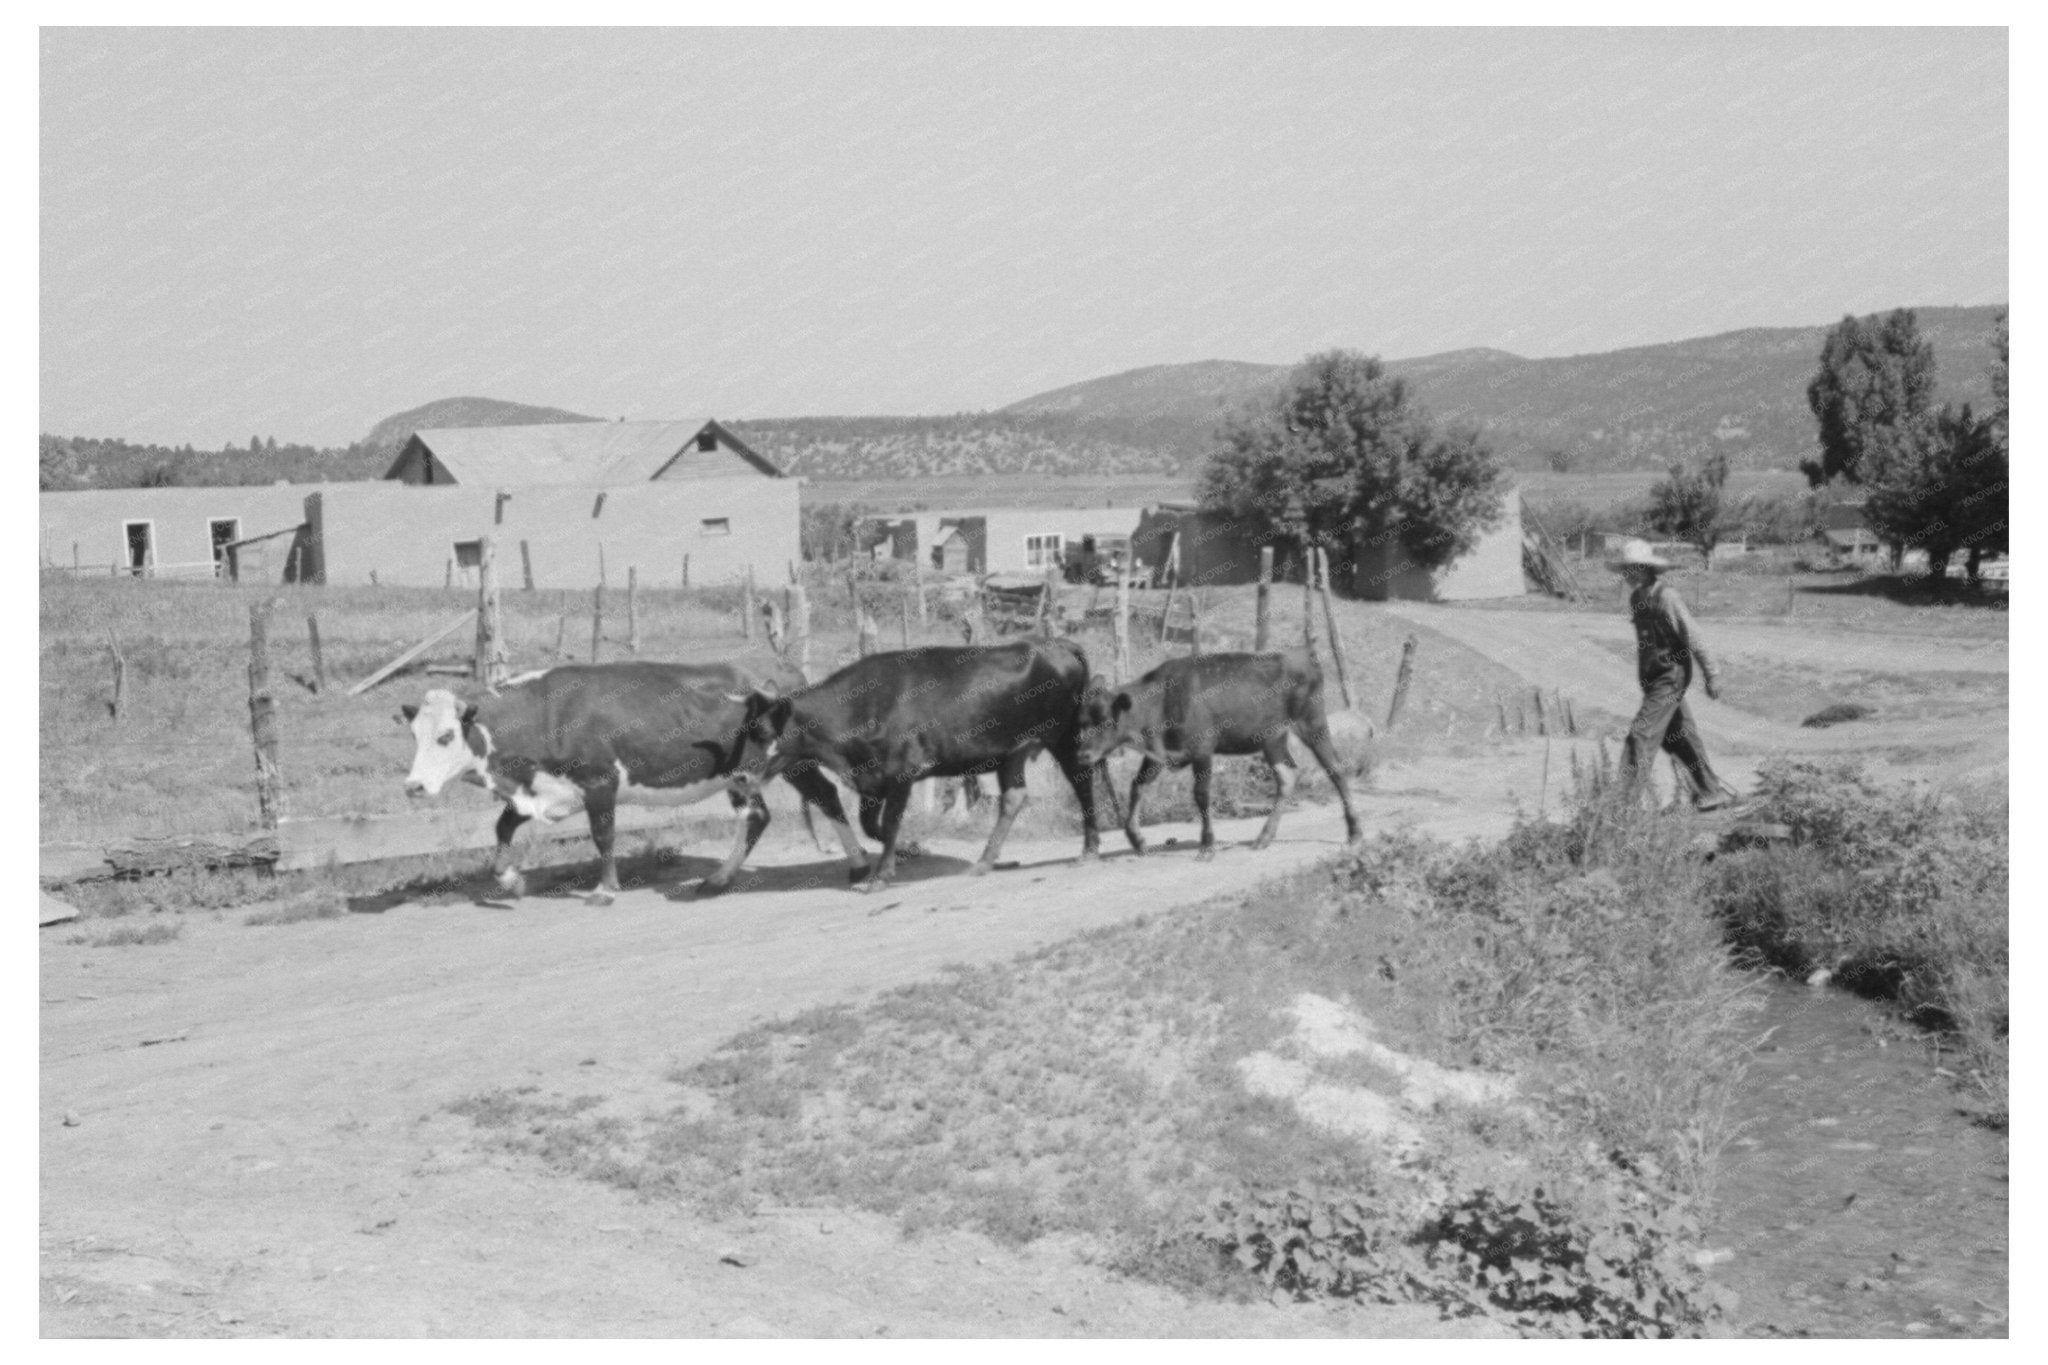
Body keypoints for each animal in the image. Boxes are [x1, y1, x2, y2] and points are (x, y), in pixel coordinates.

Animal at [401, 661, 869, 904]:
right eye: (415, 735)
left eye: (446, 736)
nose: (413, 786)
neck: (546, 715)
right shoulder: (542, 789)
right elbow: (502, 827)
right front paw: (510, 879)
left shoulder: (599, 782)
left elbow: (603, 836)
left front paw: (605, 889)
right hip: (749, 773)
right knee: (759, 815)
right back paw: (719, 879)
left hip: (792, 762)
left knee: (826, 798)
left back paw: (861, 865)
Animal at [739, 637, 1104, 892]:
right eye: (745, 728)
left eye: (765, 732)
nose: (740, 777)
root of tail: (1055, 643)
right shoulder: (871, 780)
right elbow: (872, 825)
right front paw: (910, 848)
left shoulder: (903, 770)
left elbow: (889, 823)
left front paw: (882, 875)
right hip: (1012, 752)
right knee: (1014, 797)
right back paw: (984, 861)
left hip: (1064, 736)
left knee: (1082, 781)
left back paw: (1089, 849)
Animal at [1075, 650, 1363, 860]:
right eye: (1082, 720)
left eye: (1104, 720)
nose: (1083, 755)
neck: (1161, 700)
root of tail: (1308, 660)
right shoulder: (1159, 755)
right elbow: (1137, 786)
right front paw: (1137, 840)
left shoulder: (1203, 749)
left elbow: (1201, 795)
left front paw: (1207, 846)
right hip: (1273, 739)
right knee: (1287, 775)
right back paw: (1263, 838)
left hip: (1312, 723)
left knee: (1336, 769)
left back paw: (1355, 833)